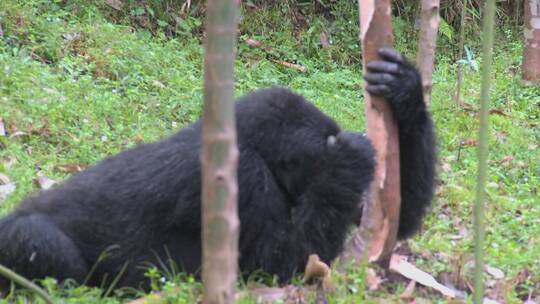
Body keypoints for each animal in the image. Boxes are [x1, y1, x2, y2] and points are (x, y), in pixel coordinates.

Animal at [0, 48, 434, 290]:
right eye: (322, 158)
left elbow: (390, 220)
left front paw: (405, 90)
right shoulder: (246, 177)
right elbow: (279, 267)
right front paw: (350, 160)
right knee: (35, 237)